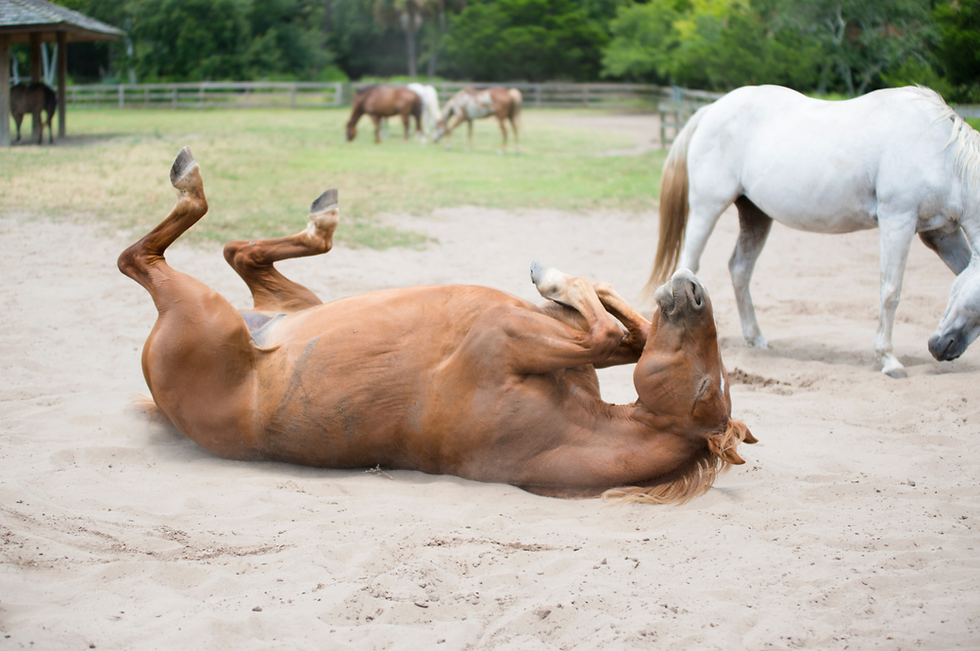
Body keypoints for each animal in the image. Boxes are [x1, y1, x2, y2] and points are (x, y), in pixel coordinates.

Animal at [118, 147, 755, 504]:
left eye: (706, 385)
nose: (693, 293)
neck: (566, 428)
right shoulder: (550, 337)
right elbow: (626, 333)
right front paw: (578, 285)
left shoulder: (507, 339)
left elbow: (606, 333)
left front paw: (555, 279)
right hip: (287, 302)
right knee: (239, 253)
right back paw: (319, 213)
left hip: (201, 311)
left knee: (143, 258)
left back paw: (194, 182)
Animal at [649, 84, 980, 378]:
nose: (940, 347)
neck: (939, 151)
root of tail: (711, 110)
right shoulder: (897, 220)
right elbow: (891, 291)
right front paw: (889, 360)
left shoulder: (941, 233)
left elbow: (958, 268)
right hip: (708, 208)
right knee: (689, 266)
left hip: (756, 215)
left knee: (740, 269)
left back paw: (756, 338)